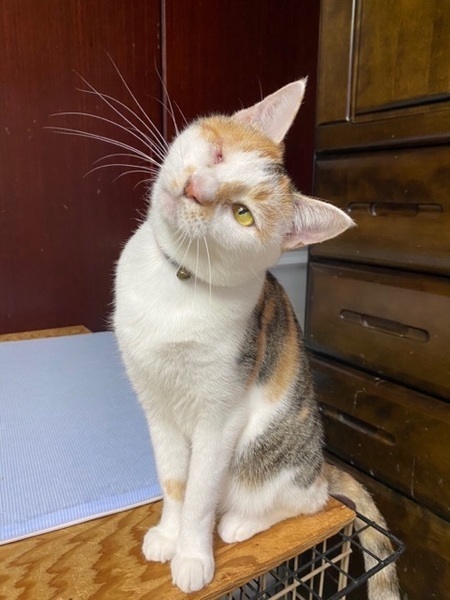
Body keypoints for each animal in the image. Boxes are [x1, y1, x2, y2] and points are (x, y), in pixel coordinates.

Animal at [113, 79, 400, 598]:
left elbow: (200, 492)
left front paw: (192, 556)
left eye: (242, 214)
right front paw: (168, 533)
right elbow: (175, 481)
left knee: (309, 500)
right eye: (219, 154)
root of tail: (319, 464)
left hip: (266, 455)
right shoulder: (156, 404)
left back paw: (240, 523)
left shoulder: (220, 415)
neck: (176, 280)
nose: (197, 188)